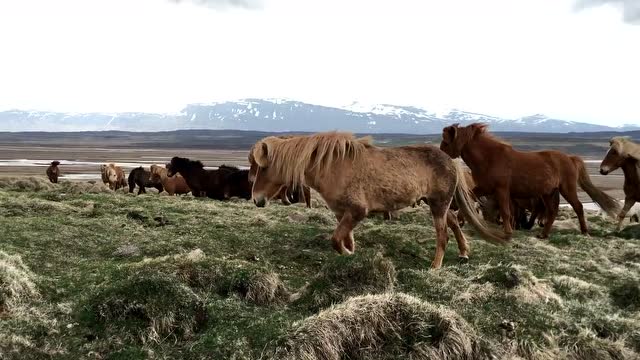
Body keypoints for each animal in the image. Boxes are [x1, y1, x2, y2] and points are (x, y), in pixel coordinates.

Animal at [248, 131, 508, 268]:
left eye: (263, 167)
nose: (256, 200)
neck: (332, 166)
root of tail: (450, 159)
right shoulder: (341, 213)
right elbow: (345, 238)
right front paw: (351, 253)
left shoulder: (357, 211)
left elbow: (335, 240)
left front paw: (348, 255)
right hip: (436, 203)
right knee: (454, 222)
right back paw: (464, 252)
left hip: (438, 204)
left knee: (443, 235)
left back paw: (435, 266)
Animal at [440, 123, 620, 239]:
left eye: (446, 142)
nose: (440, 157)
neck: (490, 158)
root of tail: (569, 157)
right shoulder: (485, 188)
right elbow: (469, 198)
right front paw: (461, 219)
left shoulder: (501, 190)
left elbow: (505, 212)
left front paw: (508, 232)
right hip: (548, 193)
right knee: (552, 211)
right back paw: (543, 234)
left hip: (567, 189)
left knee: (578, 207)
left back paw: (584, 232)